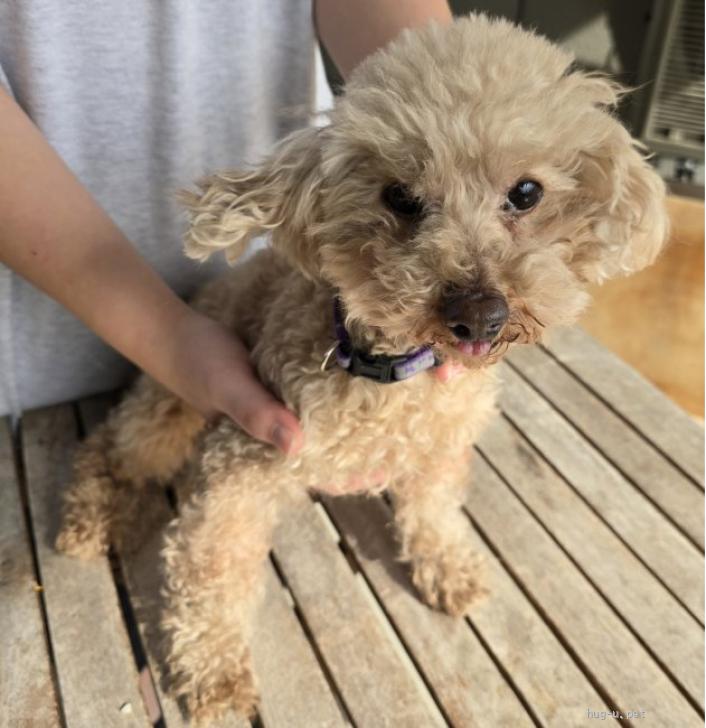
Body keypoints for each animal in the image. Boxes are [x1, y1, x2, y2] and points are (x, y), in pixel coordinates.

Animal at [56, 14, 668, 724]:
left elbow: (433, 511)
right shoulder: (241, 463)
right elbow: (210, 565)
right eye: (399, 197)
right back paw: (88, 522)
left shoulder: (441, 450)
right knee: (109, 447)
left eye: (526, 193)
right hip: (166, 411)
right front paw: (214, 673)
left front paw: (449, 567)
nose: (479, 314)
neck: (397, 383)